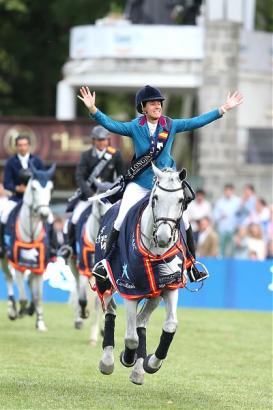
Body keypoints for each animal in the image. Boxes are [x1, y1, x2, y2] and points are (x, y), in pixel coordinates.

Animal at [1, 162, 55, 332]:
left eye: (50, 188)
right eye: (33, 188)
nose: (44, 214)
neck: (31, 231)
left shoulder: (41, 266)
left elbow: (38, 297)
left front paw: (40, 322)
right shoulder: (17, 264)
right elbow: (23, 297)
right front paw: (20, 311)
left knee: (31, 282)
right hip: (3, 257)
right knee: (9, 278)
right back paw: (13, 309)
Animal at [94, 163, 188, 384]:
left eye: (181, 200)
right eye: (156, 198)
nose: (163, 236)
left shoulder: (170, 286)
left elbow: (170, 326)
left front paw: (151, 363)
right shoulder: (130, 289)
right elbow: (130, 338)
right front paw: (126, 357)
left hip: (154, 295)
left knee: (141, 321)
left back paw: (138, 369)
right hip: (107, 281)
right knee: (111, 310)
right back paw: (108, 360)